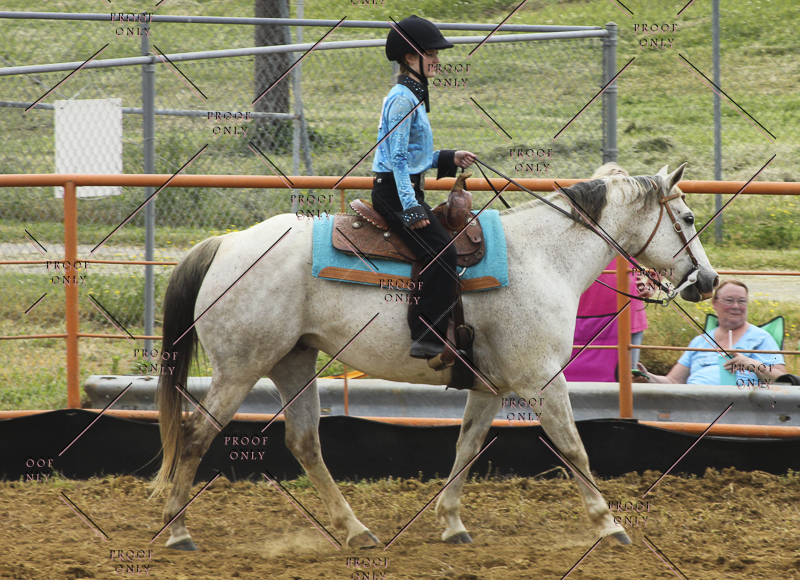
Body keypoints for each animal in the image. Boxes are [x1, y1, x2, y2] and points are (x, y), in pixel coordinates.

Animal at [150, 162, 718, 551]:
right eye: (688, 217)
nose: (709, 281)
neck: (543, 257)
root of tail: (224, 244)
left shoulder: (490, 387)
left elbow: (466, 447)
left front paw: (452, 522)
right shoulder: (541, 379)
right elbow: (574, 450)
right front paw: (610, 525)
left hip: (294, 362)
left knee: (305, 442)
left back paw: (355, 530)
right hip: (240, 369)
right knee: (196, 436)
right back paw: (178, 530)